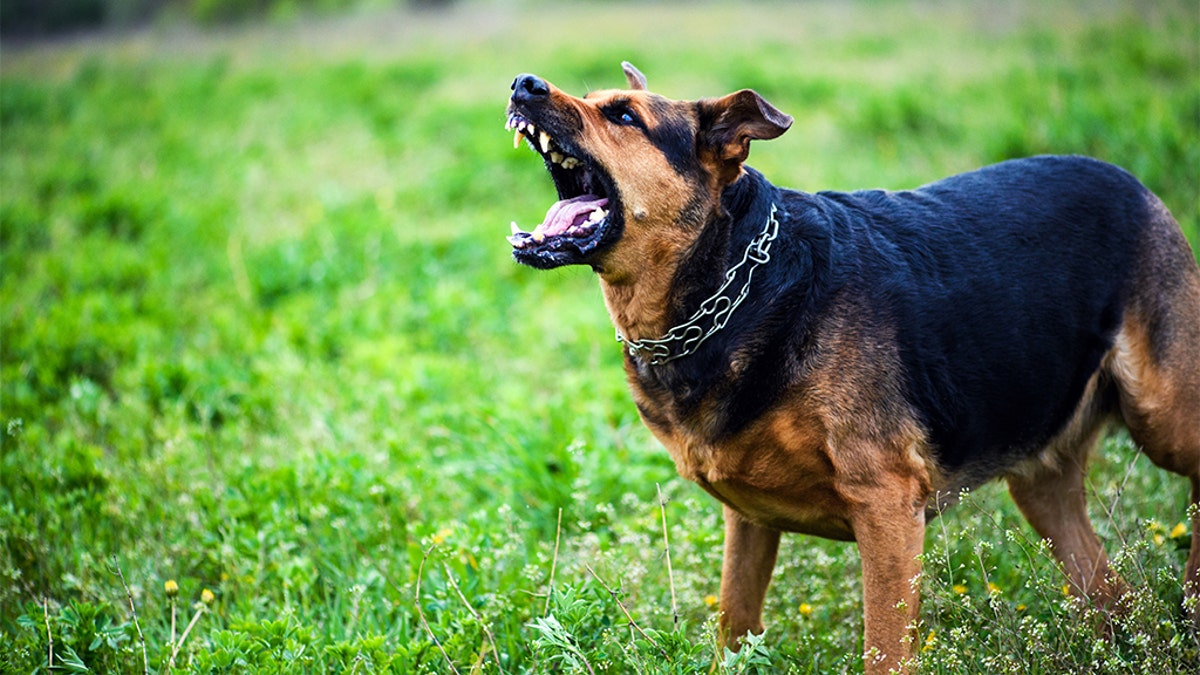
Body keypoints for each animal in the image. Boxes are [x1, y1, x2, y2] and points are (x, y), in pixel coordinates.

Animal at [501, 61, 1195, 667]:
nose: (522, 83)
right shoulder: (748, 522)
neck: (731, 282)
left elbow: (884, 649)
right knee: (1113, 596)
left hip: (1161, 415)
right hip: (1041, 478)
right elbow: (734, 624)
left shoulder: (886, 507)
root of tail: (1132, 183)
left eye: (623, 115)